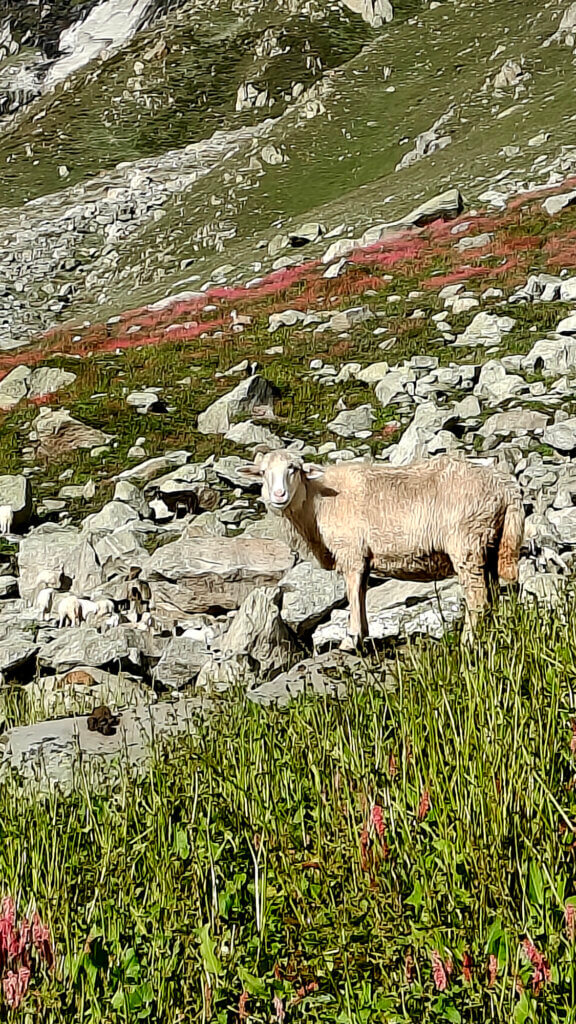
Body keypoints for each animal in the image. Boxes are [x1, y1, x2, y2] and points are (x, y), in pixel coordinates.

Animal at [239, 450, 524, 647]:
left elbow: (353, 594)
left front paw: (350, 640)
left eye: (294, 469)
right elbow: (361, 593)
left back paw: (468, 640)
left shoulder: (350, 552)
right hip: (490, 543)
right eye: (262, 472)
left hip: (466, 541)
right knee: (492, 592)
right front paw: (362, 635)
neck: (316, 504)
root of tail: (507, 489)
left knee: (477, 598)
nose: (278, 495)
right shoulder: (363, 558)